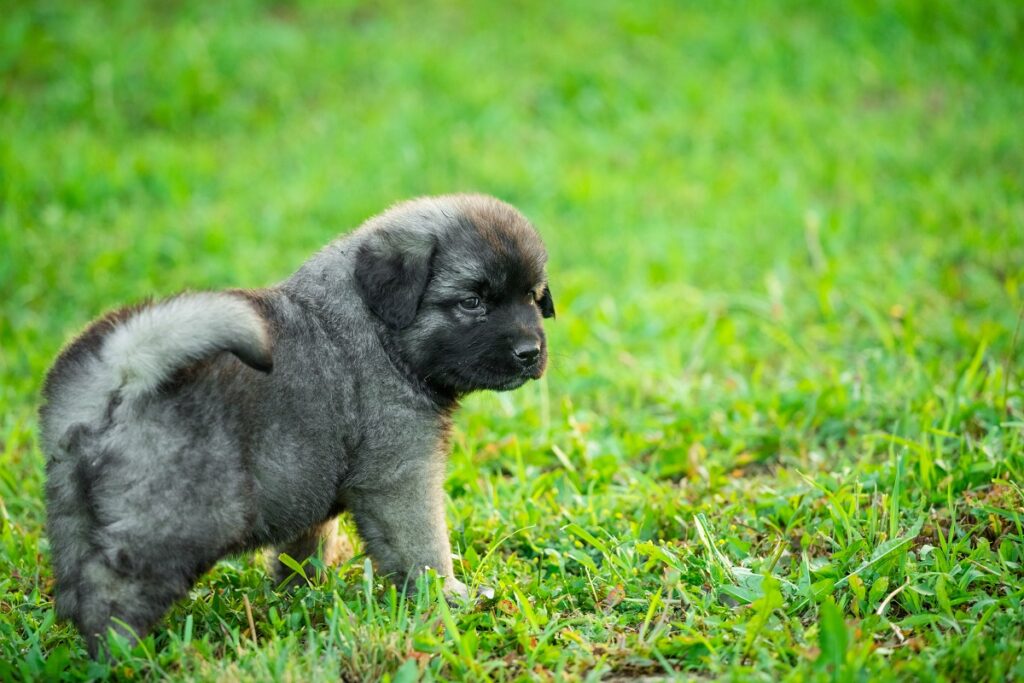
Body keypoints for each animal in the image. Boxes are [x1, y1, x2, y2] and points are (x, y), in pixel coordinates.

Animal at [39, 194, 557, 655]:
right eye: (472, 302)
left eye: (533, 298)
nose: (529, 352)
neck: (379, 329)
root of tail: (120, 370)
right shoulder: (400, 475)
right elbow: (422, 544)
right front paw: (447, 598)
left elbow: (307, 544)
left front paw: (301, 595)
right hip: (179, 516)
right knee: (114, 584)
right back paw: (123, 652)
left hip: (70, 506)